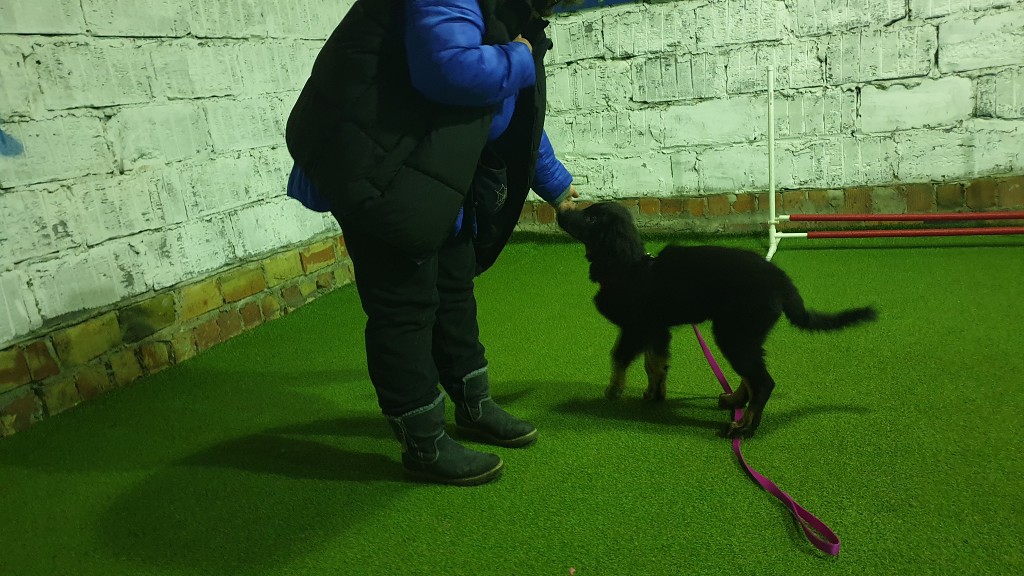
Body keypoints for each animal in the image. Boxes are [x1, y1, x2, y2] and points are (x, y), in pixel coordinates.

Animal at [556, 201, 877, 438]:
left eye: (591, 218)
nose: (560, 212)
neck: (627, 265)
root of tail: (782, 281)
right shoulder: (657, 330)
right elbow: (655, 363)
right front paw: (654, 392)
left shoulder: (636, 328)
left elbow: (619, 357)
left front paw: (614, 390)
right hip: (741, 333)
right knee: (751, 377)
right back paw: (734, 402)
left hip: (734, 332)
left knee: (763, 382)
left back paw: (744, 427)